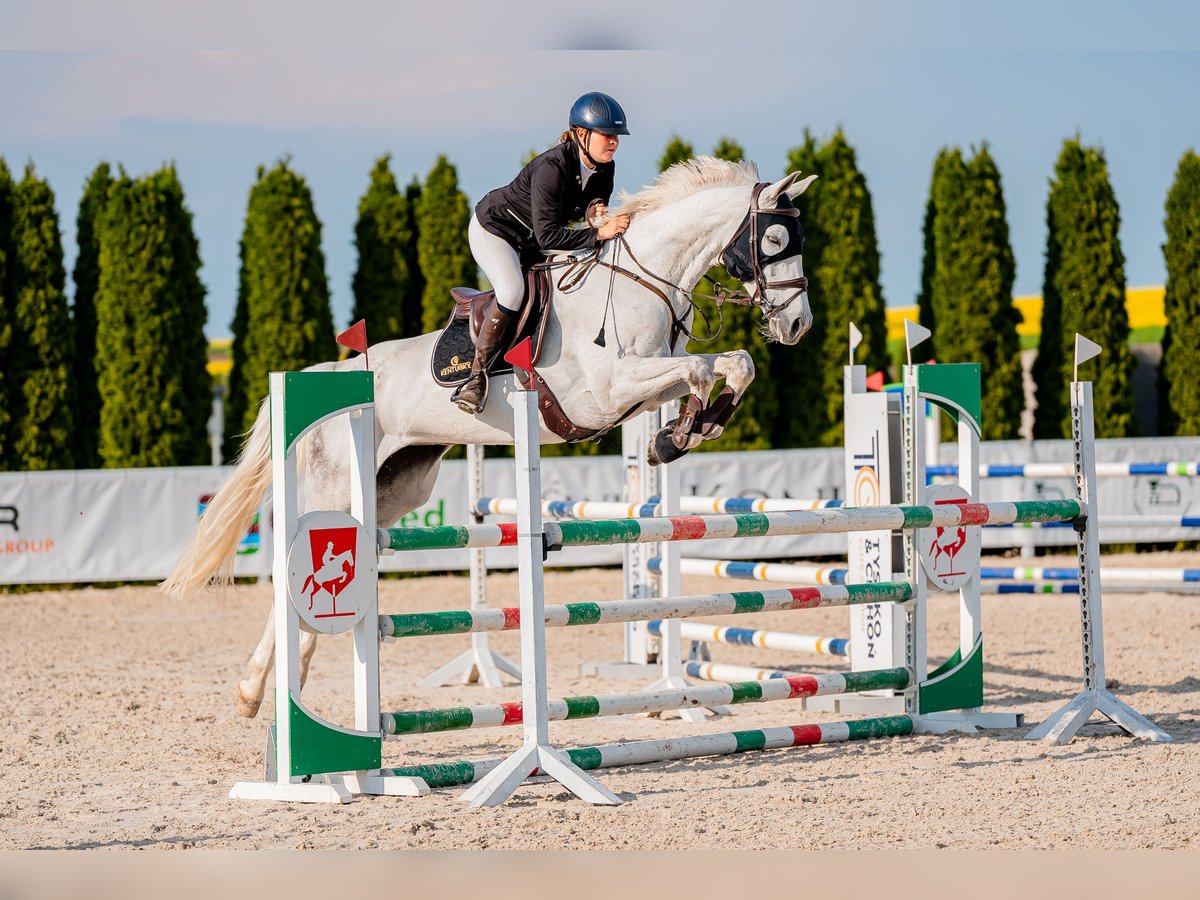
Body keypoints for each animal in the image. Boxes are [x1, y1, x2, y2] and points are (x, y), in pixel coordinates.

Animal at [161, 156, 818, 718]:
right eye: (774, 242)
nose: (797, 326)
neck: (643, 280)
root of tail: (327, 375)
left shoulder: (643, 388)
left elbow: (732, 365)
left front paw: (685, 432)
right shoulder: (610, 389)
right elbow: (704, 370)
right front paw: (679, 435)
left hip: (395, 488)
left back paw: (281, 684)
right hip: (337, 487)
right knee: (294, 565)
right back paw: (257, 690)